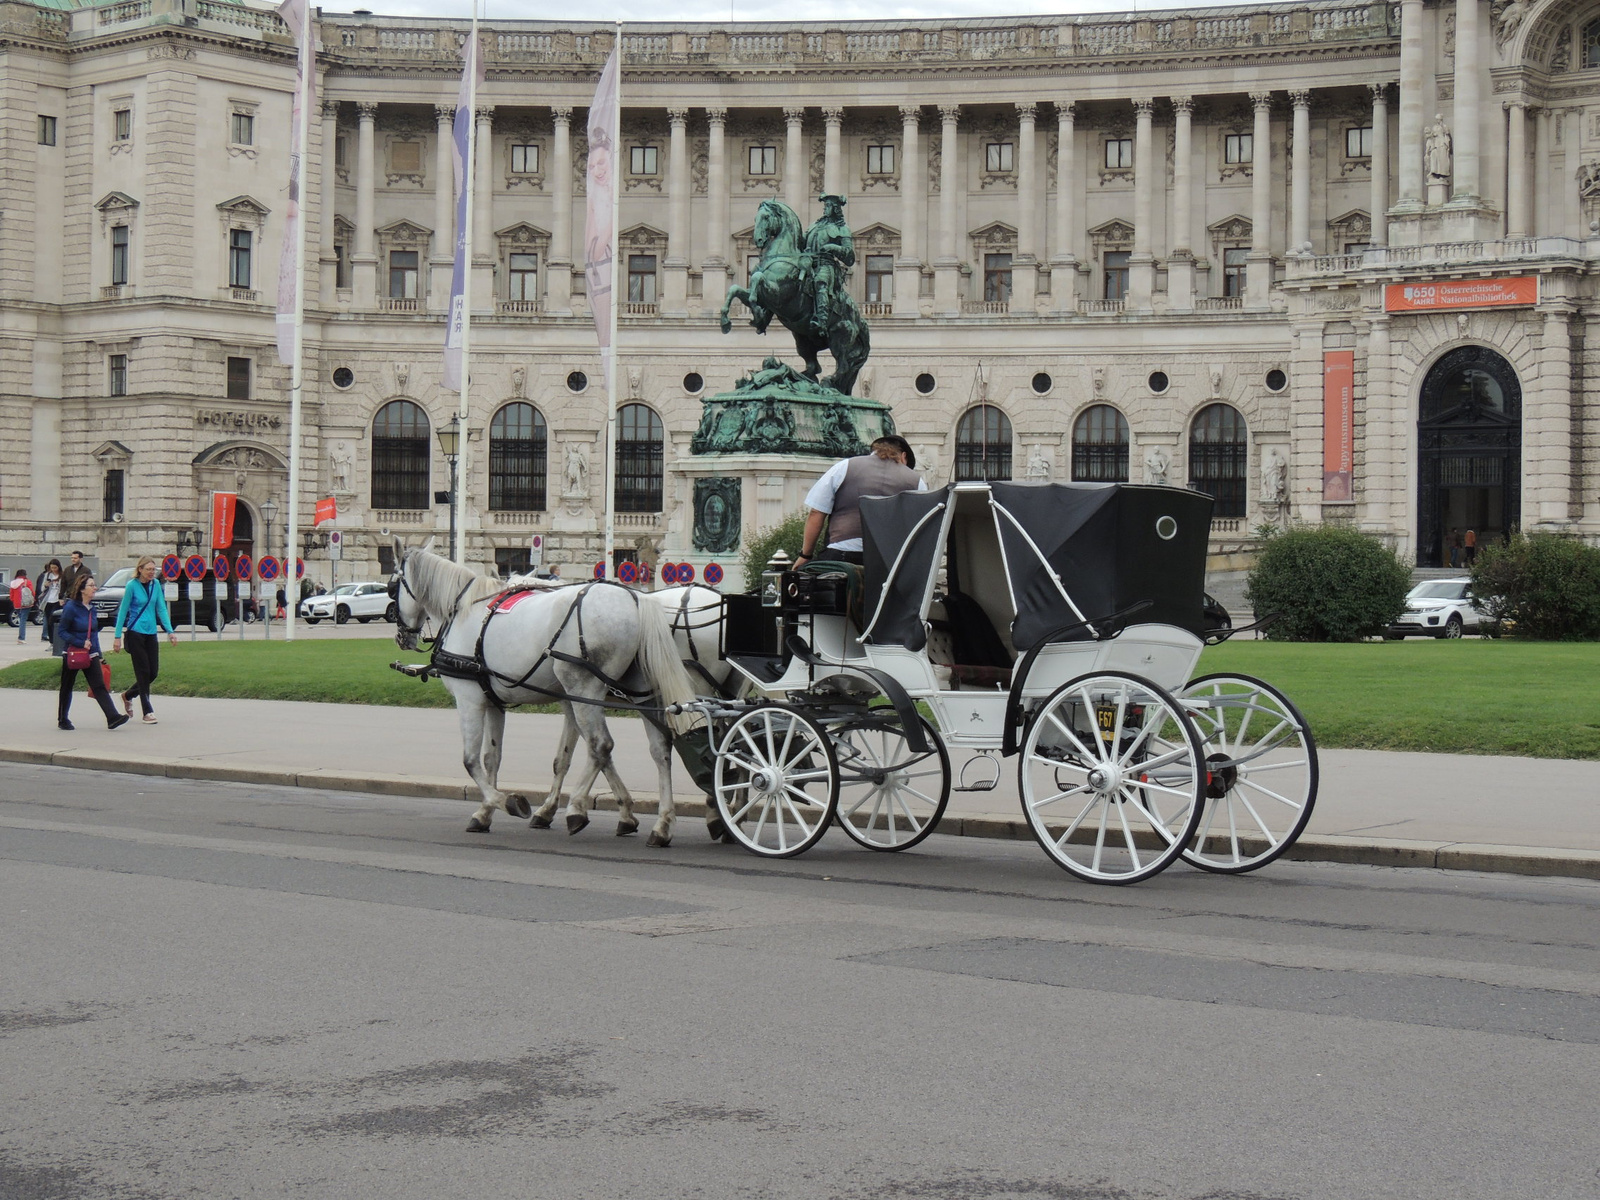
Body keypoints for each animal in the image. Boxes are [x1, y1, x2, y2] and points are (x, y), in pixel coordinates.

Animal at [392, 544, 694, 844]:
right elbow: (493, 758)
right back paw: (662, 823)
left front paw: (503, 802)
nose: (401, 637)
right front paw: (486, 811)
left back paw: (577, 808)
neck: (465, 608)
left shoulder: (470, 700)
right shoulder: (495, 703)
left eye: (393, 586)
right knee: (658, 749)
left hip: (584, 688)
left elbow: (470, 760)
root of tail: (635, 598)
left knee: (601, 746)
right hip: (639, 694)